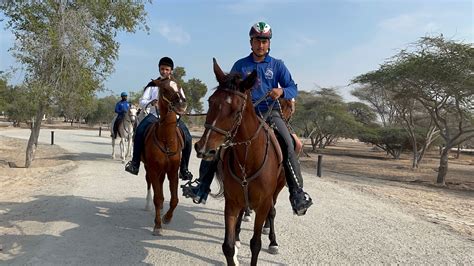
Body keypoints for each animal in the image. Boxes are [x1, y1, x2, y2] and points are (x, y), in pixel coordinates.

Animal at [142, 76, 186, 235]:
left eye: (180, 87)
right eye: (166, 89)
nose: (182, 104)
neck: (166, 139)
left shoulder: (173, 171)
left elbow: (174, 200)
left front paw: (167, 218)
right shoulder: (154, 169)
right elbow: (157, 198)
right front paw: (157, 225)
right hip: (148, 168)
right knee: (150, 184)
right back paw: (148, 205)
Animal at [195, 58, 286, 266]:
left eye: (236, 110)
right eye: (210, 101)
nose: (203, 149)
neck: (248, 159)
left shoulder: (263, 203)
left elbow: (255, 244)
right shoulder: (232, 201)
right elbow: (227, 246)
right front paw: (234, 243)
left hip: (277, 190)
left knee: (272, 212)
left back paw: (273, 241)